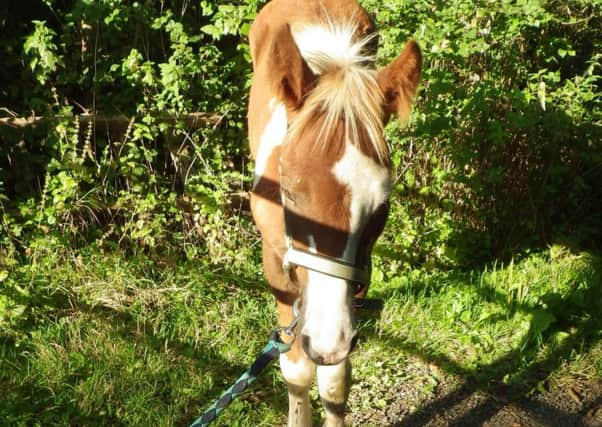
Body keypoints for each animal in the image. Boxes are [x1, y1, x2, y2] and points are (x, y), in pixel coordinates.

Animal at [246, 1, 420, 426]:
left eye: (382, 204)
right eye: (289, 192)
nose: (327, 341)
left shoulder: (359, 272)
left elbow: (336, 380)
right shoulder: (276, 267)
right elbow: (296, 368)